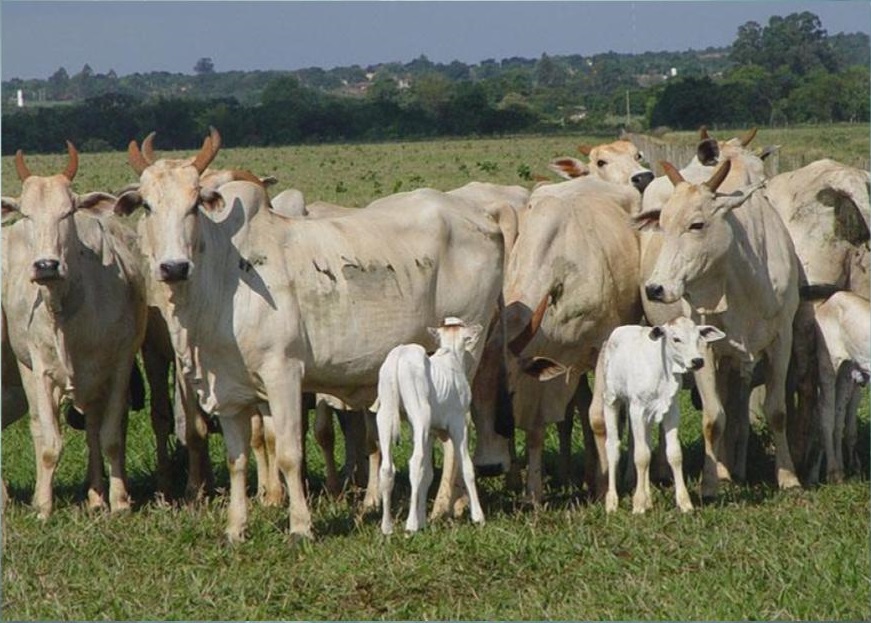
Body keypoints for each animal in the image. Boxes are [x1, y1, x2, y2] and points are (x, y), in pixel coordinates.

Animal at [0, 144, 147, 520]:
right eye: (26, 214)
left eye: (67, 212)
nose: (46, 265)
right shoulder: (38, 369)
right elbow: (50, 443)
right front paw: (43, 507)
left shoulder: (119, 367)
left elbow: (110, 436)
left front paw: (119, 501)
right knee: (40, 428)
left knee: (94, 428)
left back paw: (97, 497)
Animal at [374, 320, 484, 532]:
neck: (451, 355)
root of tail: (399, 355)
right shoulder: (460, 422)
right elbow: (466, 466)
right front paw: (478, 517)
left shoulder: (431, 432)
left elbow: (428, 474)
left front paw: (423, 519)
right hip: (420, 413)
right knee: (414, 463)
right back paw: (410, 525)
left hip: (385, 411)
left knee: (387, 468)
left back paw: (387, 527)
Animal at [596, 320, 724, 516]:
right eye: (676, 339)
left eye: (698, 338)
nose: (697, 361)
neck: (663, 371)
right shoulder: (637, 408)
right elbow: (641, 456)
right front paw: (638, 505)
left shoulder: (672, 409)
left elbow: (674, 454)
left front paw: (685, 503)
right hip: (611, 399)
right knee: (613, 447)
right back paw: (612, 502)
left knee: (647, 445)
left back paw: (648, 499)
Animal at [816, 290, 868, 486]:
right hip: (829, 366)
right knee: (827, 416)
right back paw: (833, 472)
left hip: (846, 372)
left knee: (839, 419)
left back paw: (844, 468)